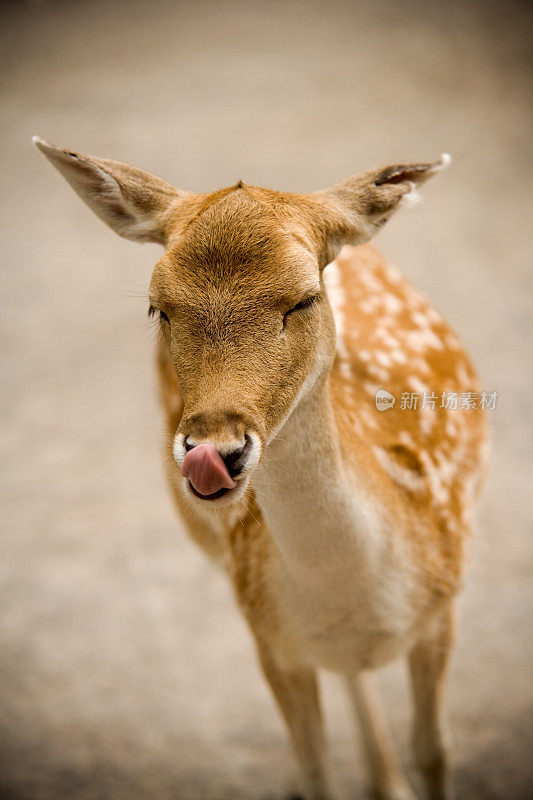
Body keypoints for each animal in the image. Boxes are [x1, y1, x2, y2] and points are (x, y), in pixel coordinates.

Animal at [34, 138, 486, 800]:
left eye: (304, 298)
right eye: (158, 308)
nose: (214, 452)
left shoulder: (442, 610)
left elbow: (434, 751)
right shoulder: (267, 636)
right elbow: (317, 767)